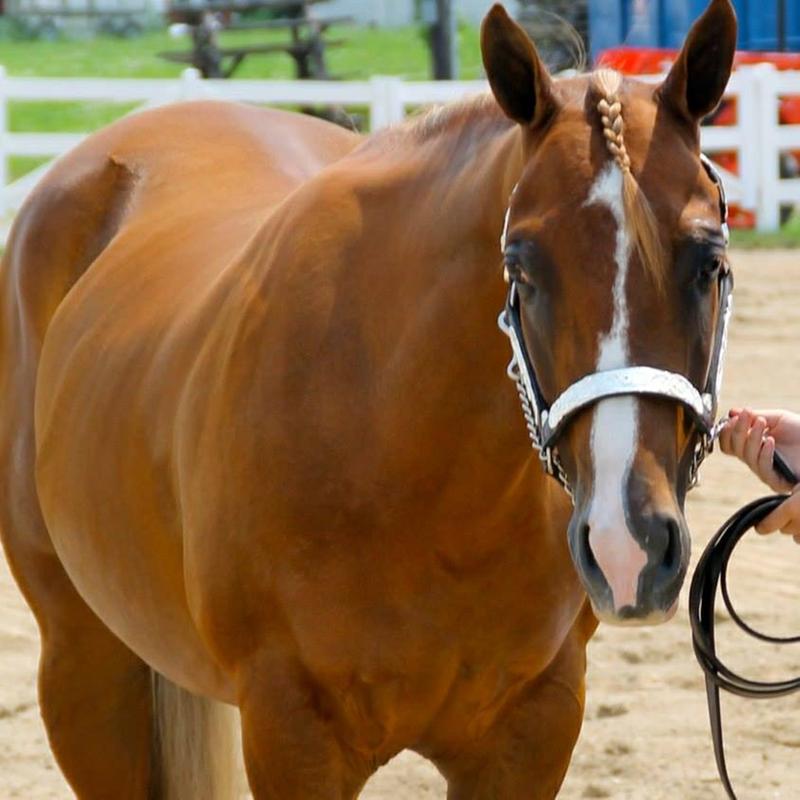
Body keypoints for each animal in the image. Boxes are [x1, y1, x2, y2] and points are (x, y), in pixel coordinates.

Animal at [0, 1, 737, 797]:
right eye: (522, 267)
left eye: (709, 261)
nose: (627, 545)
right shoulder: (292, 736)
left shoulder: (534, 728)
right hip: (84, 666)